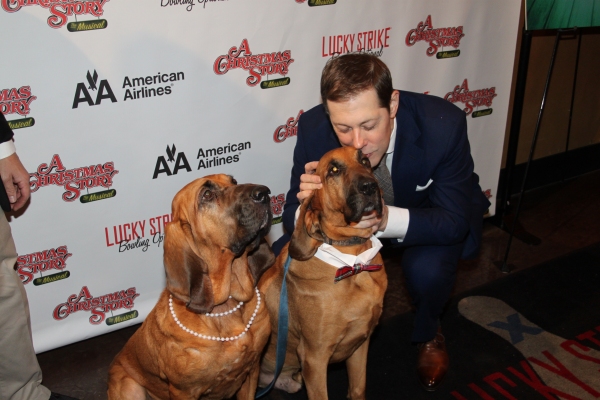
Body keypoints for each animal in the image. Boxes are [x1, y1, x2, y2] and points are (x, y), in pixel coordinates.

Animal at [260, 148, 386, 400]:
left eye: (365, 161)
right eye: (333, 170)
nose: (370, 186)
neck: (354, 264)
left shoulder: (360, 343)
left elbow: (357, 388)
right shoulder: (314, 358)